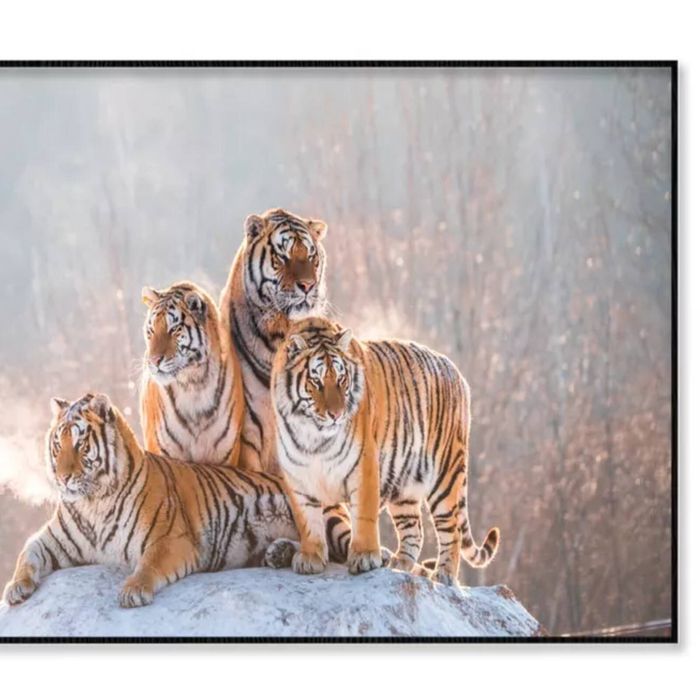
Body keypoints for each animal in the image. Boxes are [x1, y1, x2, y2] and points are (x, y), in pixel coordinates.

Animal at [2, 392, 299, 609]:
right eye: (57, 445)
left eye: (80, 445)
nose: (62, 478)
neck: (93, 503)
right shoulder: (53, 539)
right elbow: (26, 553)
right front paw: (15, 588)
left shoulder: (170, 539)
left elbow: (150, 563)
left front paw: (133, 591)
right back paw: (279, 552)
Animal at [270, 317, 500, 585]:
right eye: (316, 381)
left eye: (341, 379)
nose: (336, 414)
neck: (313, 437)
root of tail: (455, 370)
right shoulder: (297, 476)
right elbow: (308, 520)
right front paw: (310, 558)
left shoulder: (364, 465)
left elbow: (364, 516)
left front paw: (365, 557)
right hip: (405, 487)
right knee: (415, 532)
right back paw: (398, 565)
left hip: (446, 473)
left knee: (450, 528)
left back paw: (443, 574)